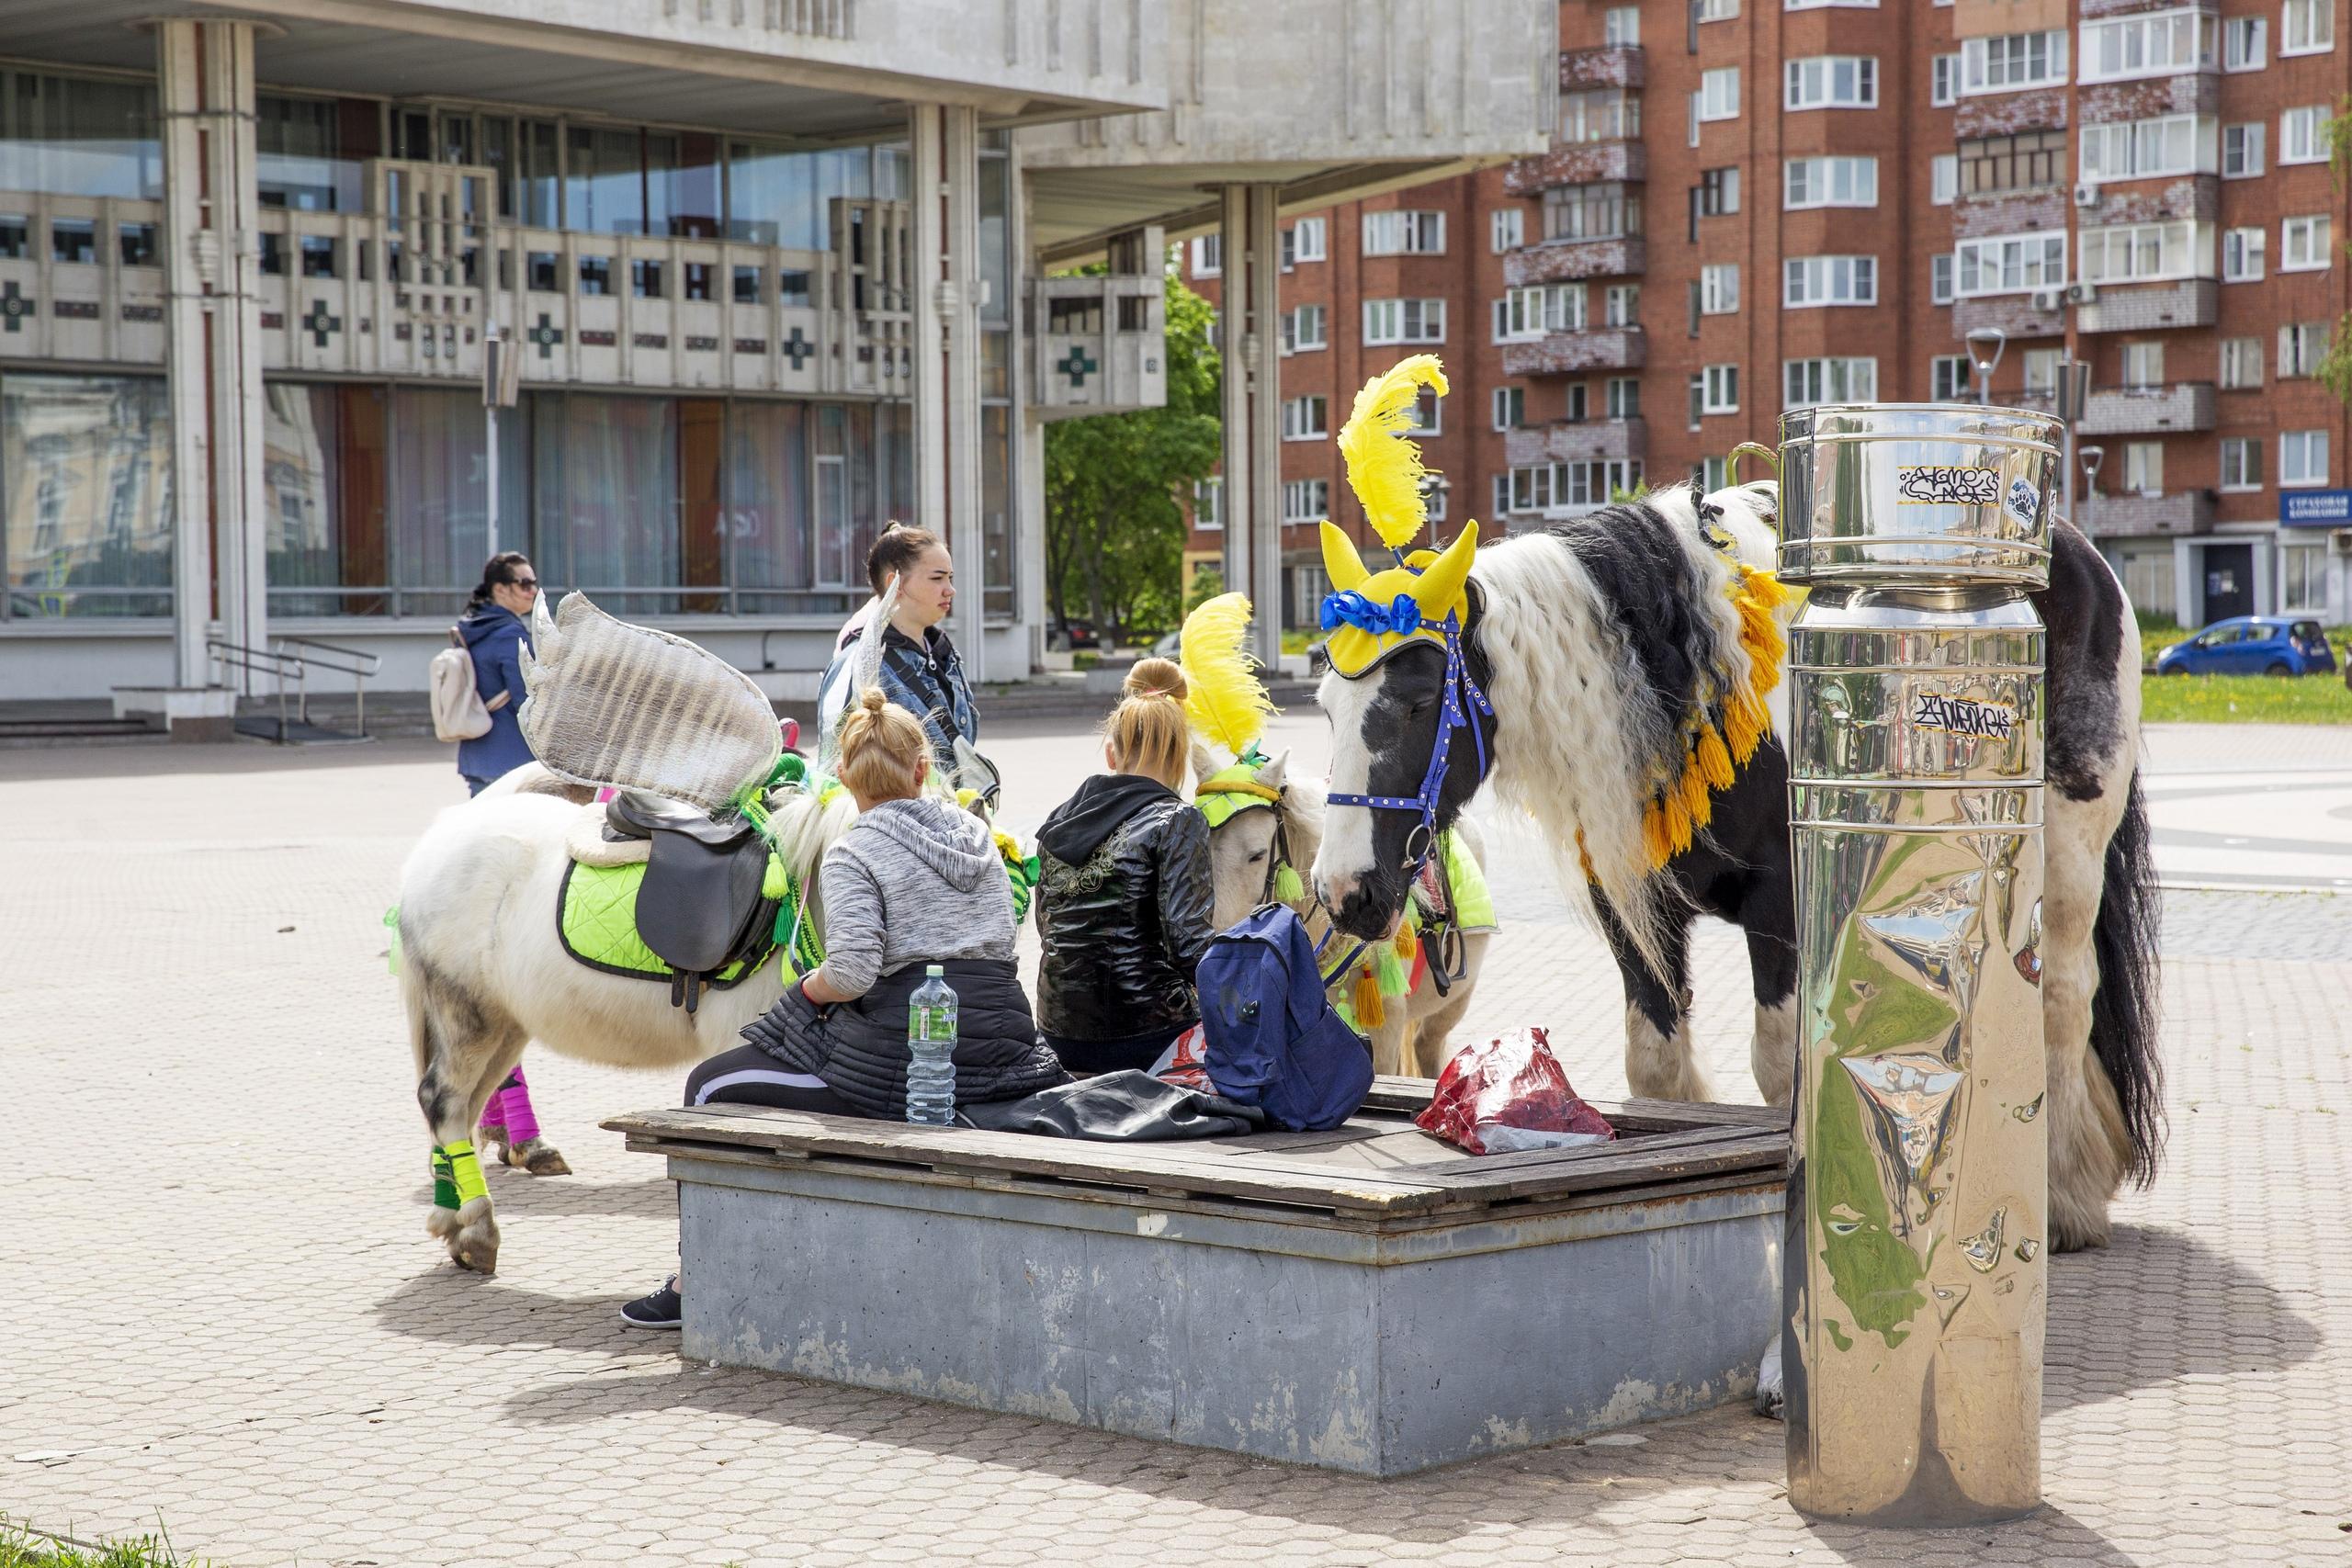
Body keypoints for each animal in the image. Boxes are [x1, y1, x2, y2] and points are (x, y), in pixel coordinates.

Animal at [1317, 484, 2154, 1241]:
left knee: (2062, 998)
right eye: (1324, 704)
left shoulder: (1779, 903)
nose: (1344, 891)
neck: (1682, 680)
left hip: (2067, 850)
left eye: (1419, 700)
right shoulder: (1635, 906)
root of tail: (2078, 550)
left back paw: (2061, 1193)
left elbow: (1781, 1063)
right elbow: (1656, 1067)